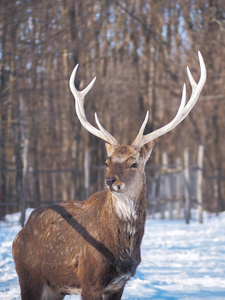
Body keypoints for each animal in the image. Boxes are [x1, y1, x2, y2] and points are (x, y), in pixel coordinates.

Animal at [11, 52, 206, 300]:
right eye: (107, 162)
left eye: (134, 163)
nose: (110, 180)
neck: (122, 250)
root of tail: (20, 233)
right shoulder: (89, 280)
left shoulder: (118, 284)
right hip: (29, 276)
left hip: (54, 288)